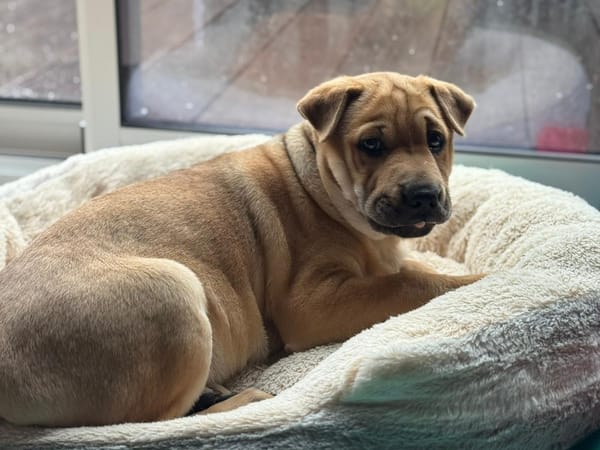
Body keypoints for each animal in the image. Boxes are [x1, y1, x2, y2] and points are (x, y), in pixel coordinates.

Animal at [0, 72, 483, 426]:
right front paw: (480, 281)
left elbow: (407, 269)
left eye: (436, 140)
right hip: (175, 290)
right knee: (148, 423)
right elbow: (411, 283)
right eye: (371, 146)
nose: (424, 195)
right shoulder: (312, 302)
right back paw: (247, 400)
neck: (322, 187)